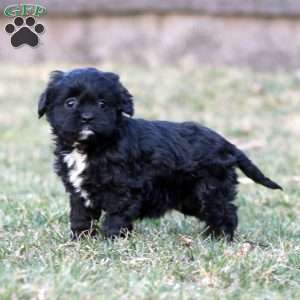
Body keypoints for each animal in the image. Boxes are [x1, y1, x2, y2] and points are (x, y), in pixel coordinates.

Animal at [38, 67, 282, 240]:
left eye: (102, 104)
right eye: (70, 103)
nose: (87, 117)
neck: (91, 146)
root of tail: (227, 143)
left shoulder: (123, 190)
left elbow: (116, 216)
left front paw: (111, 240)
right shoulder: (79, 192)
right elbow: (80, 215)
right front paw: (81, 239)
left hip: (209, 190)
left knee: (225, 211)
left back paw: (219, 239)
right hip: (191, 198)